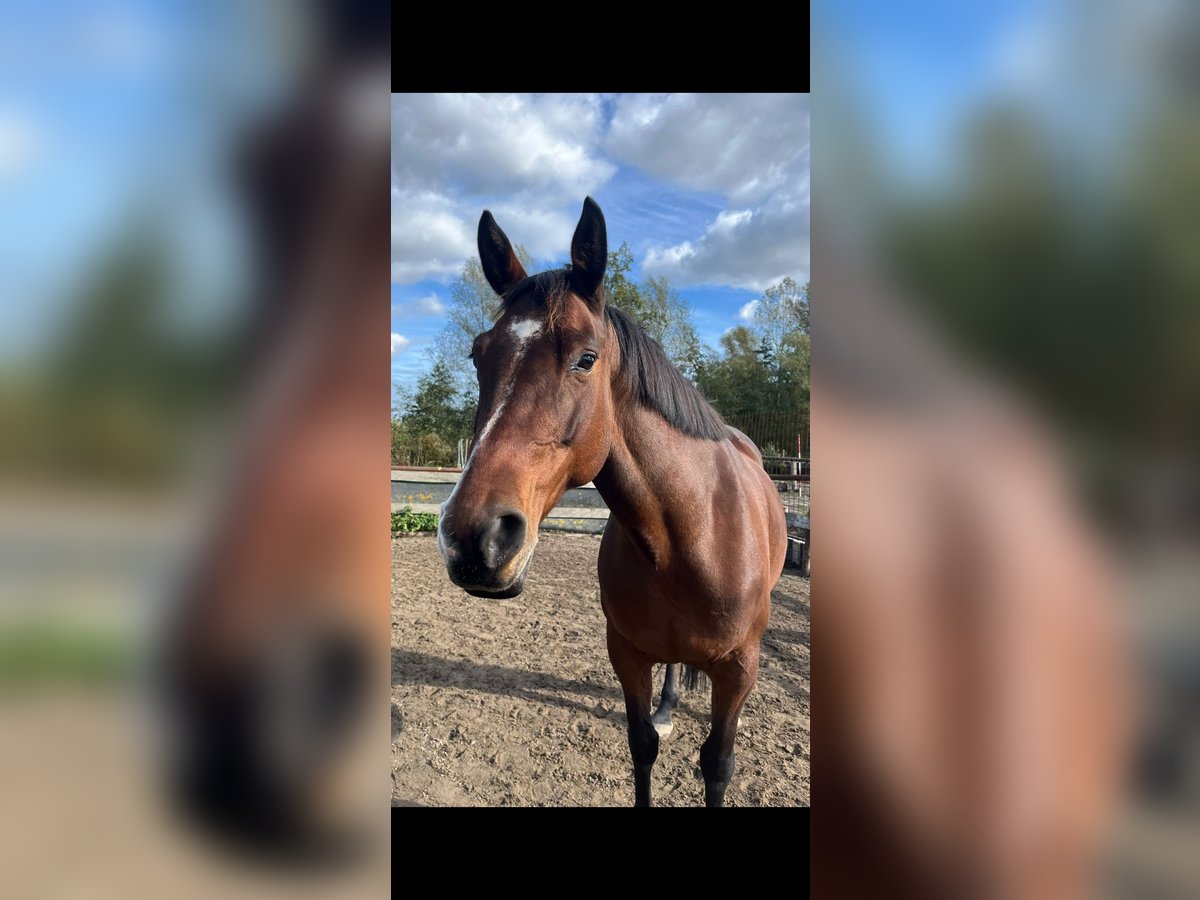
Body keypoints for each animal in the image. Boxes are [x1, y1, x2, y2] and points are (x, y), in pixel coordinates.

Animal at [437, 197, 789, 807]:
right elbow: (641, 747)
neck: (692, 534)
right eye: (478, 355)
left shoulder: (741, 667)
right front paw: (657, 722)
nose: (473, 539)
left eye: (586, 358)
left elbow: (718, 765)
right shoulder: (626, 654)